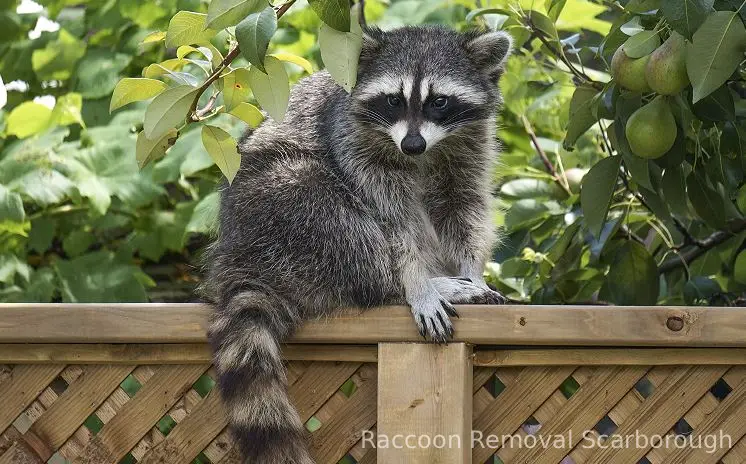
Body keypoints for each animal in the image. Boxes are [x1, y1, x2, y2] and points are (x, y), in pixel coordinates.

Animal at [204, 26, 512, 464]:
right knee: (334, 215)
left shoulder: (470, 145)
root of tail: (237, 256)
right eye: (393, 100)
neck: (422, 153)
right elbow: (392, 222)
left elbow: (463, 207)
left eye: (439, 101)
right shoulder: (352, 142)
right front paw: (416, 283)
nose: (412, 145)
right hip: (273, 207)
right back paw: (398, 285)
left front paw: (472, 269)